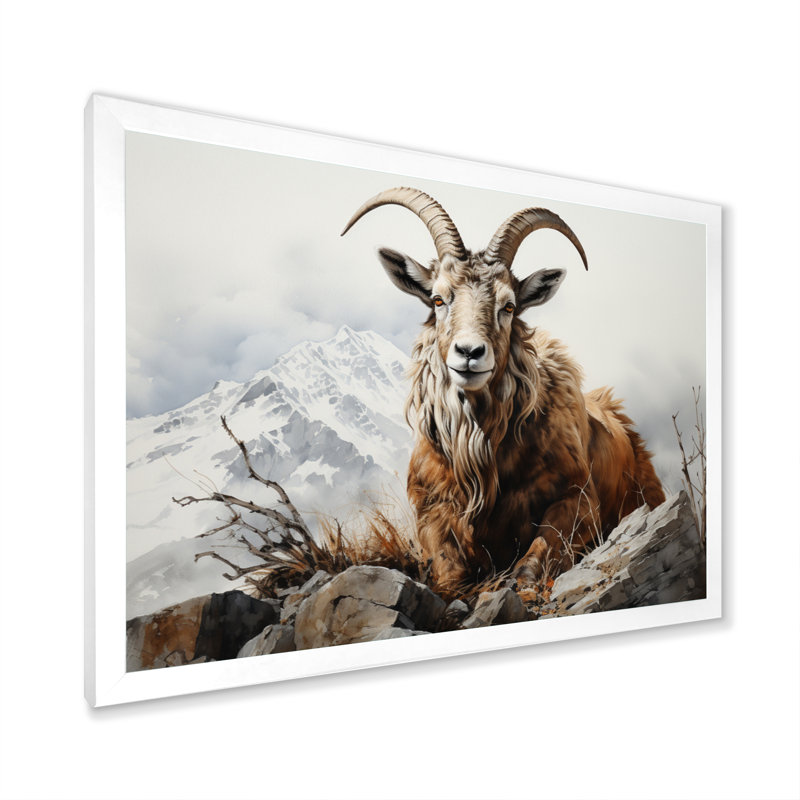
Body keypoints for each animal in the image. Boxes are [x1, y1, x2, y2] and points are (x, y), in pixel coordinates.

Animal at [342, 187, 665, 590]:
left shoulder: (577, 498)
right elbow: (449, 571)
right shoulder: (432, 508)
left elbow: (534, 557)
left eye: (508, 305)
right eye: (438, 299)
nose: (469, 353)